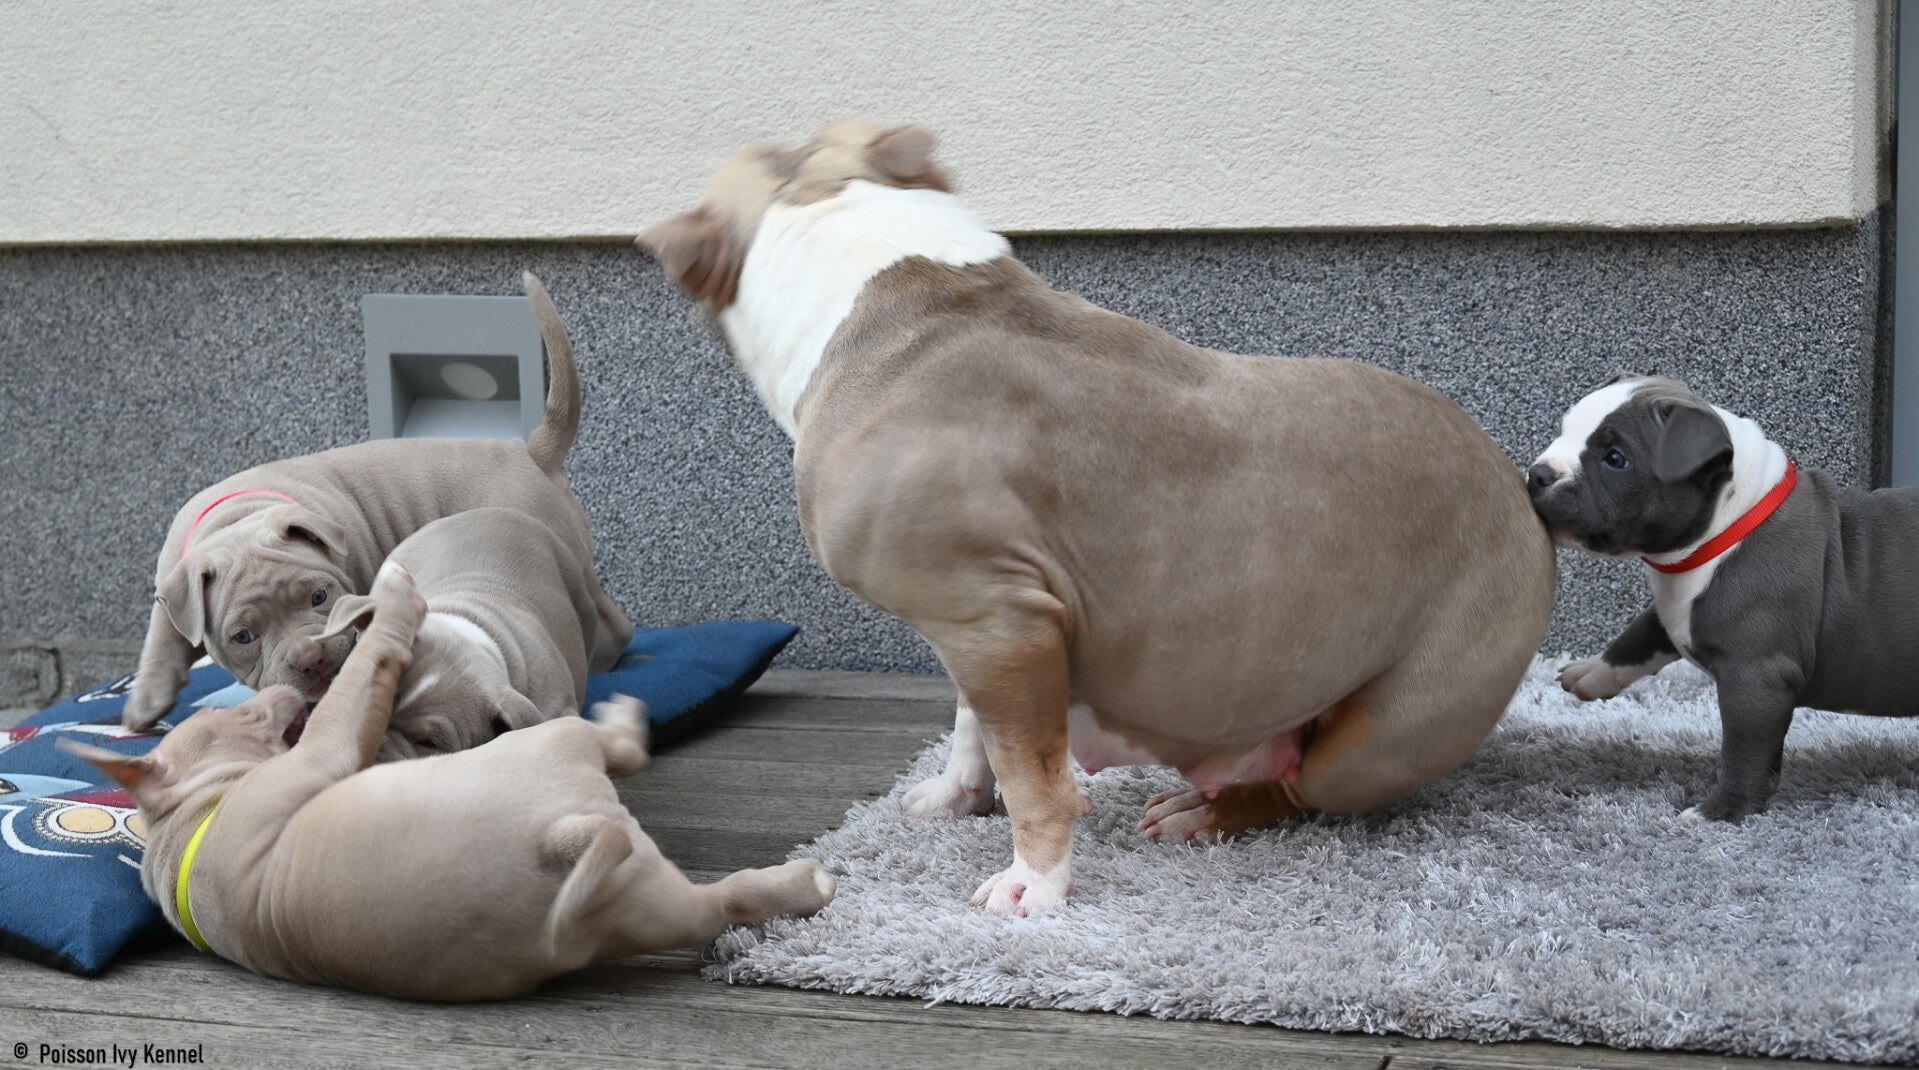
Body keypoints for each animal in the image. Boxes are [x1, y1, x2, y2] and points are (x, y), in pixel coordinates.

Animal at [68, 562, 833, 1001]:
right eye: (246, 713)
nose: (291, 690)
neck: (192, 816)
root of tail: (560, 839)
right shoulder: (322, 748)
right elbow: (368, 667)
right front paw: (391, 605)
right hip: (556, 749)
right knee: (636, 778)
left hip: (645, 904)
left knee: (720, 903)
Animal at [125, 273, 632, 730]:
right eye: (242, 636)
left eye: (320, 596)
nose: (310, 659)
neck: (238, 519)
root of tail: (526, 449)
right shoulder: (173, 582)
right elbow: (162, 634)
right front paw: (146, 701)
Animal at [637, 119, 1555, 915]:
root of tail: (1521, 492)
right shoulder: (980, 620)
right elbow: (972, 724)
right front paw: (957, 792)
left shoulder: (997, 622)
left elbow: (1033, 779)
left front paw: (1034, 886)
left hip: (1378, 737)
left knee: (1304, 786)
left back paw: (1208, 811)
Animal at [1527, 373, 1919, 821]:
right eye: (1564, 429)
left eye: (1615, 458)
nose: (1538, 473)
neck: (1726, 530)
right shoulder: (1675, 612)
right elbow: (1640, 634)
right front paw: (1592, 672)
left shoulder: (1757, 678)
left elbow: (1744, 750)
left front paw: (1720, 812)